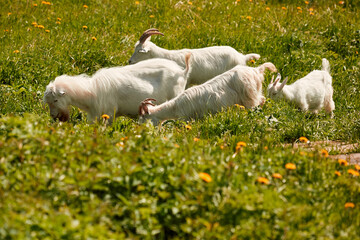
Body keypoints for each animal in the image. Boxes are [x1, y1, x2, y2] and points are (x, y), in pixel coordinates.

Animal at [138, 62, 276, 125]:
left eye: (143, 118)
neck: (175, 107)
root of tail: (257, 70)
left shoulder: (187, 119)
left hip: (249, 98)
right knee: (262, 100)